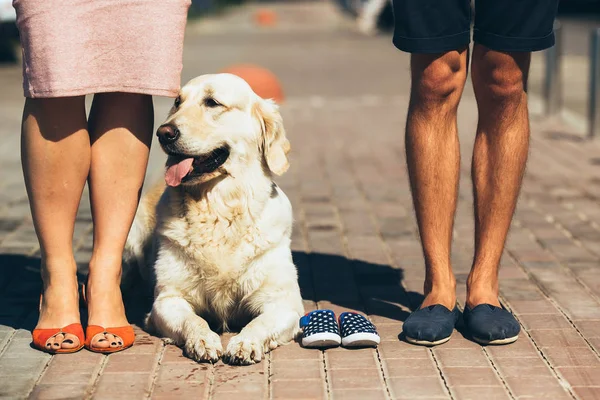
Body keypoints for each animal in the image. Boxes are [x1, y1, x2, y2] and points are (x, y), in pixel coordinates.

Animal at [126, 73, 304, 364]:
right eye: (177, 102)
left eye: (212, 102)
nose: (163, 133)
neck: (219, 210)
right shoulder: (168, 299)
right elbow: (193, 320)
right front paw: (203, 340)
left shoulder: (284, 302)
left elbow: (260, 323)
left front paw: (245, 342)